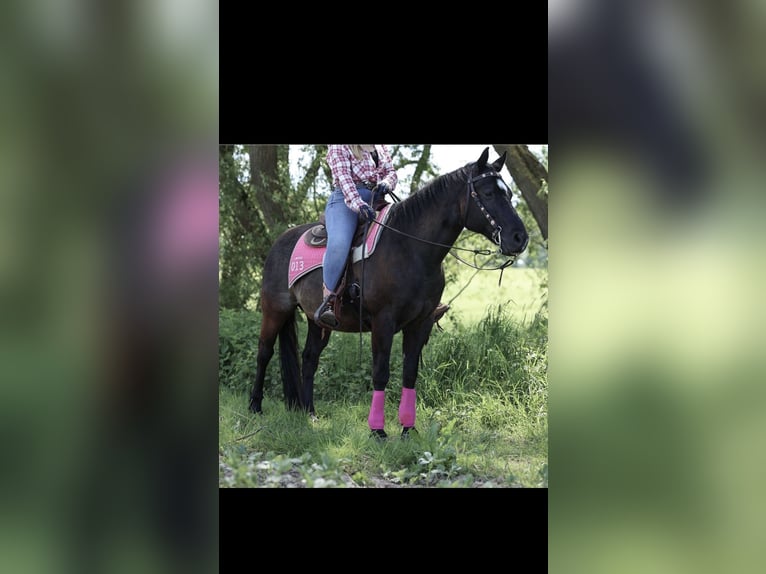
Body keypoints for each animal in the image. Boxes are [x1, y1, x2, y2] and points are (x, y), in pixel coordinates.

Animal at [249, 147, 529, 438]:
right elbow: (381, 373)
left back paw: (310, 413)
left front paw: (408, 428)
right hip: (275, 310)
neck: (410, 248)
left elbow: (409, 373)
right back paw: (255, 407)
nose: (519, 238)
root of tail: (280, 241)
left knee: (309, 359)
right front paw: (378, 431)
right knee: (264, 352)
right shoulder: (383, 322)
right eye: (488, 193)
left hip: (318, 321)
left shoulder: (420, 323)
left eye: (509, 193)